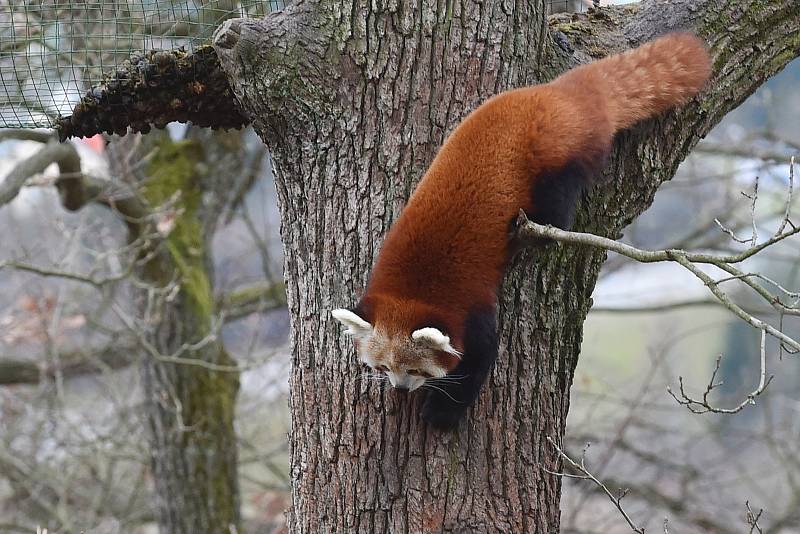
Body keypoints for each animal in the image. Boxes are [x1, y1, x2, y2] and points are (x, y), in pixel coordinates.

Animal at [332, 32, 712, 432]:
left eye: (417, 369)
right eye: (382, 366)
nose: (401, 388)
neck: (413, 292)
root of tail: (558, 94)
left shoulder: (468, 303)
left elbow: (480, 357)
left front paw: (443, 413)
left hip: (555, 161)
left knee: (556, 207)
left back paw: (537, 232)